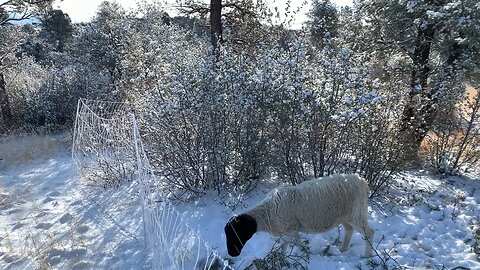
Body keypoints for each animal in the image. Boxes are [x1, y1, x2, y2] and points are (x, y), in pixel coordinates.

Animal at [225, 174, 376, 258]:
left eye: (235, 233)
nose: (232, 254)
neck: (268, 212)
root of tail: (363, 181)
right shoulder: (288, 231)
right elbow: (288, 245)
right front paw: (286, 258)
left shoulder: (289, 230)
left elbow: (293, 244)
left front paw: (303, 254)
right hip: (345, 216)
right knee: (349, 229)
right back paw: (343, 248)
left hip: (357, 213)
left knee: (369, 232)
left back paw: (367, 255)